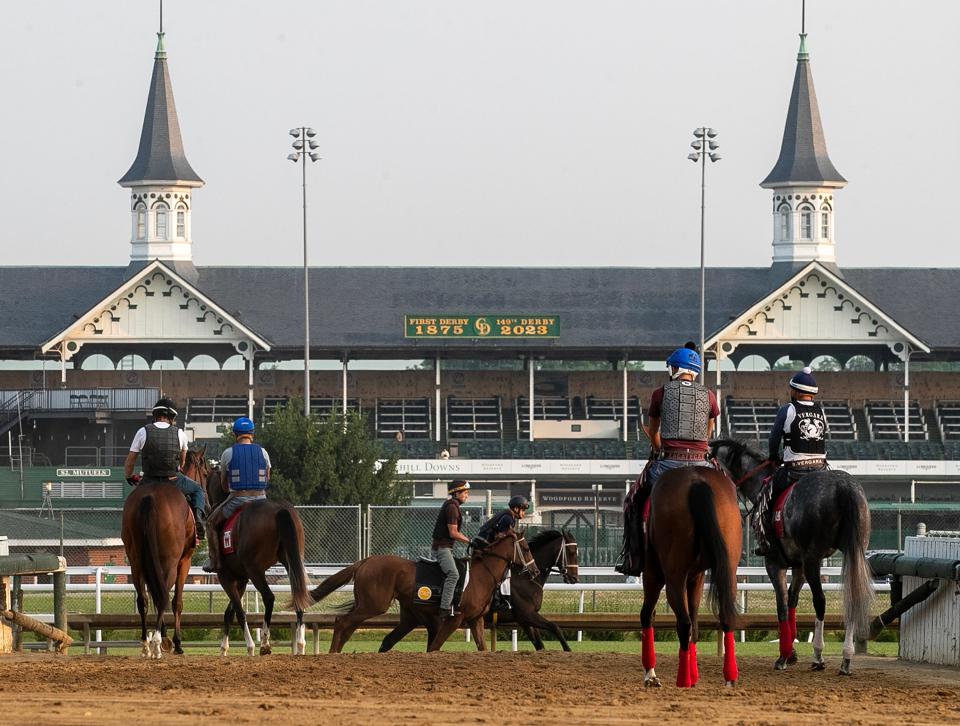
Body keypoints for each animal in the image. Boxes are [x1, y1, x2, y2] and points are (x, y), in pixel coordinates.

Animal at [120, 484, 195, 660]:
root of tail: (150, 498)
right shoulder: (184, 562)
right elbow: (177, 602)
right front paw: (176, 642)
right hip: (170, 563)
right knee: (163, 597)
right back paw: (156, 644)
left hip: (136, 563)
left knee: (143, 600)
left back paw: (146, 645)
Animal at [193, 446, 314, 656]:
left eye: (203, 476)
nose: (205, 508)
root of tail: (279, 509)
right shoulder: (241, 579)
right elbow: (229, 612)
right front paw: (224, 648)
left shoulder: (226, 577)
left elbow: (239, 612)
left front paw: (249, 646)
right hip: (291, 562)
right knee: (298, 593)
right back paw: (299, 644)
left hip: (255, 569)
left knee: (269, 597)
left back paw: (264, 642)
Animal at [308, 532, 536, 656]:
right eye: (526, 548)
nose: (534, 571)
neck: (481, 575)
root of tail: (365, 560)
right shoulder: (455, 618)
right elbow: (435, 646)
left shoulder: (475, 619)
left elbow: (482, 647)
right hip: (373, 605)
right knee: (342, 622)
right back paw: (333, 653)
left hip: (373, 606)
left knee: (349, 626)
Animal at [636, 466, 744, 688]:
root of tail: (697, 482)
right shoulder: (697, 576)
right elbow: (695, 621)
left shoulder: (653, 572)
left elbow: (648, 614)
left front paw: (650, 674)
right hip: (728, 568)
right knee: (722, 617)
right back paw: (729, 676)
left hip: (672, 574)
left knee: (682, 622)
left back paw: (682, 679)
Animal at [708, 440, 872, 680]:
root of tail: (844, 487)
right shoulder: (799, 567)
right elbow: (792, 601)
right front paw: (790, 652)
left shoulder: (775, 564)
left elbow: (782, 605)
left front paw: (784, 656)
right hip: (853, 553)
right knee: (851, 598)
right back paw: (846, 658)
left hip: (814, 560)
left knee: (820, 601)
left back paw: (818, 656)